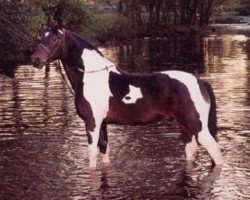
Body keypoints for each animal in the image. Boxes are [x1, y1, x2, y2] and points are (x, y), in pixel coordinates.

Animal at [30, 25, 224, 168]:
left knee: (215, 151)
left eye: (54, 39)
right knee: (191, 151)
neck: (91, 75)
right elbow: (104, 152)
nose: (35, 60)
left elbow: (92, 156)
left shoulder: (92, 123)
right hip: (185, 127)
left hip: (197, 126)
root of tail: (200, 81)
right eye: (41, 37)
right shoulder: (102, 125)